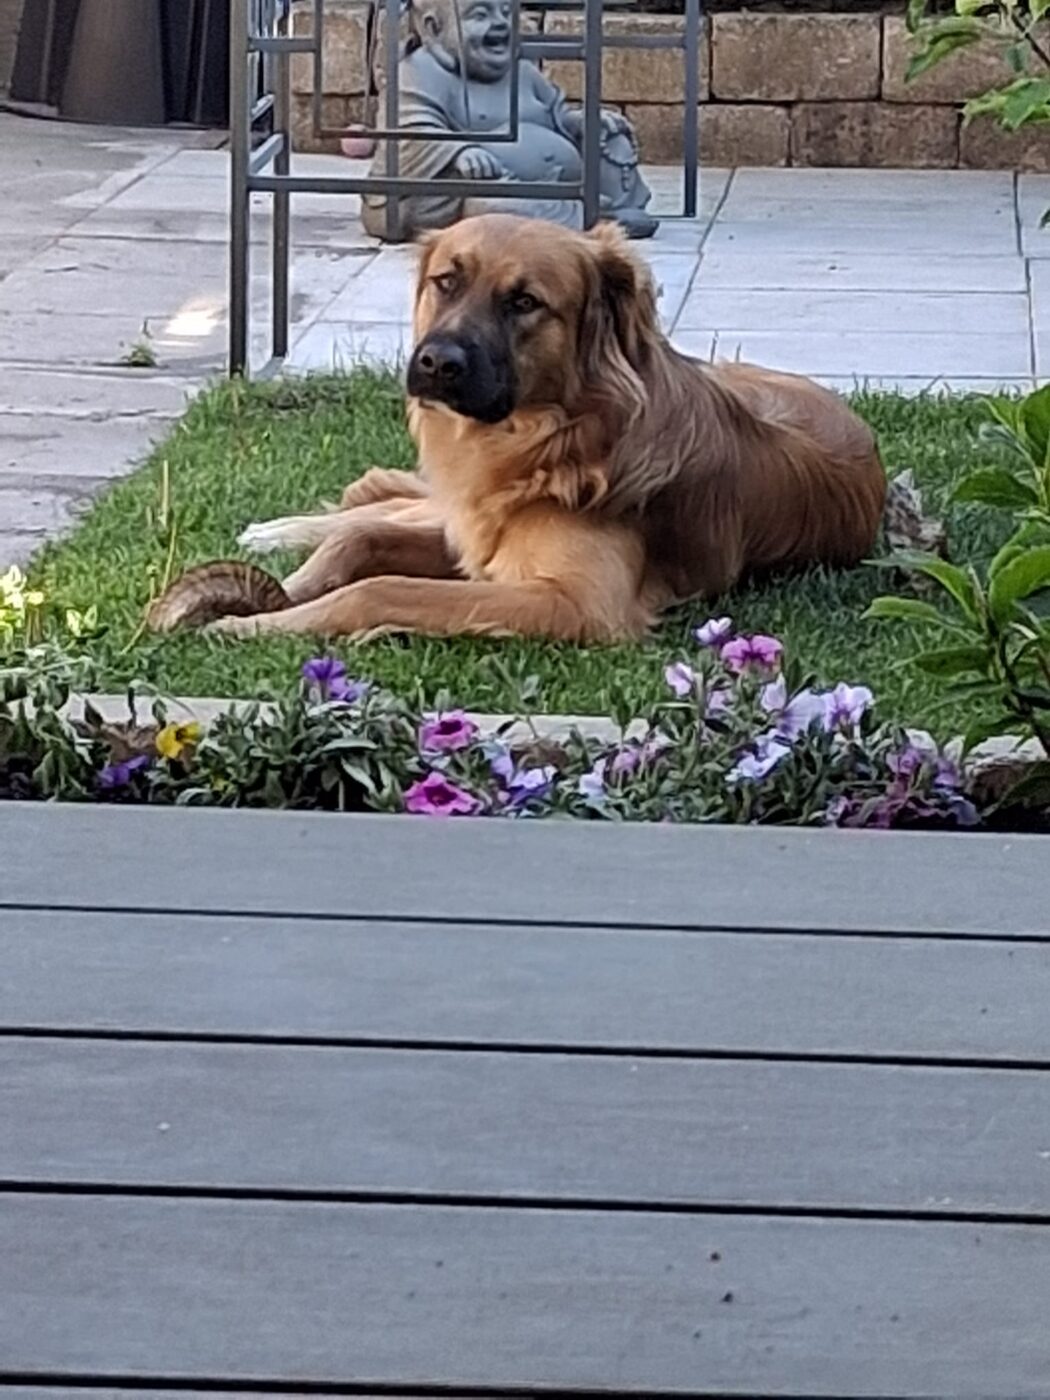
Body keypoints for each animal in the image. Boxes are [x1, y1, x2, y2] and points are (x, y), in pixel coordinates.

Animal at [154, 213, 886, 644]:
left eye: (525, 302)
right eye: (446, 282)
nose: (435, 364)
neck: (549, 440)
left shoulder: (575, 602)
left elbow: (378, 586)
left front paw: (255, 624)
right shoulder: (473, 541)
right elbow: (360, 545)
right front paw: (276, 597)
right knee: (381, 511)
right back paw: (278, 530)